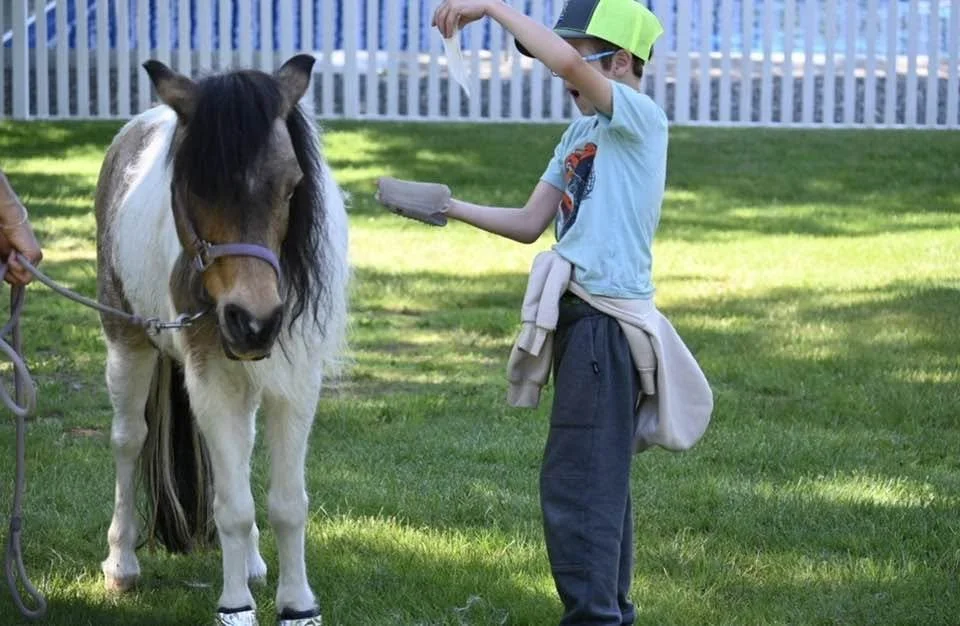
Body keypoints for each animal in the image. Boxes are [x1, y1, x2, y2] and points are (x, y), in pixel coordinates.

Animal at [93, 54, 349, 625]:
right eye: (196, 186)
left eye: (292, 184)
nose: (254, 321)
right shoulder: (211, 380)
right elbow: (232, 508)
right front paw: (235, 607)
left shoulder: (296, 383)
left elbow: (287, 503)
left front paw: (297, 604)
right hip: (127, 343)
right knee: (128, 440)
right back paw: (121, 563)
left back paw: (251, 562)